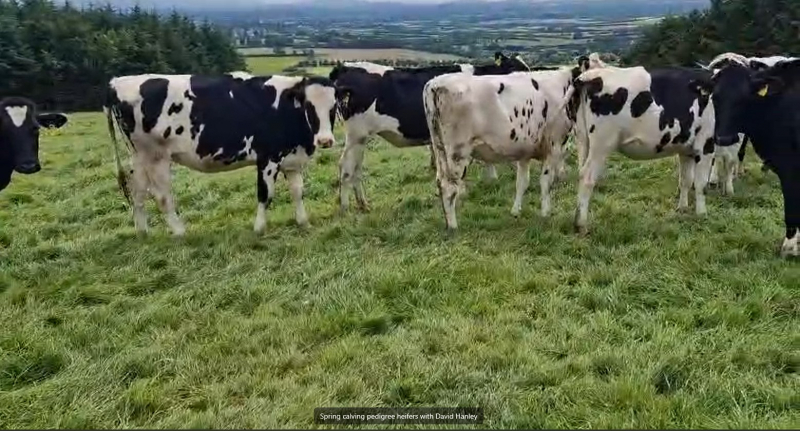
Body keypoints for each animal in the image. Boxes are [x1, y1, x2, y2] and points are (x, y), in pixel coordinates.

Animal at [105, 74, 338, 236]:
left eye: (334, 107)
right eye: (309, 106)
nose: (325, 140)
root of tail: (118, 82)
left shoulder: (292, 160)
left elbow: (298, 192)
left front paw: (303, 222)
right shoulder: (268, 157)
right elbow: (265, 194)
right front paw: (259, 229)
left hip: (139, 156)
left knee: (138, 193)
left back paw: (143, 232)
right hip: (156, 156)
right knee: (162, 196)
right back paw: (180, 233)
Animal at [326, 52, 544, 213]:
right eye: (516, 68)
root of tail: (345, 67)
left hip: (360, 137)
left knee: (356, 168)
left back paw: (363, 204)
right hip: (356, 134)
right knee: (346, 167)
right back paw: (345, 207)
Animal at [564, 64, 720, 235]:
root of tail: (589, 75)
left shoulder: (686, 149)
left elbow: (685, 180)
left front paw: (683, 209)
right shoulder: (706, 143)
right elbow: (700, 184)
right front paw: (702, 215)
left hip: (582, 138)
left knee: (581, 172)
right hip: (602, 143)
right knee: (587, 177)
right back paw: (581, 225)